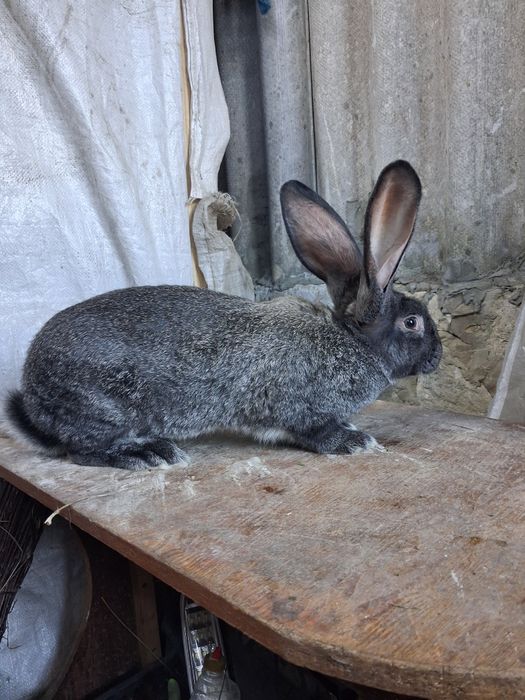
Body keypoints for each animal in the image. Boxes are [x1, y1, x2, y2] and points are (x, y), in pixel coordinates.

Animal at [7, 160, 442, 470]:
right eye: (412, 322)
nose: (438, 358)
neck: (351, 341)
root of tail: (32, 388)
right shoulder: (301, 407)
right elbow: (315, 430)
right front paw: (354, 441)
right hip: (103, 408)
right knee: (82, 450)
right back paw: (149, 454)